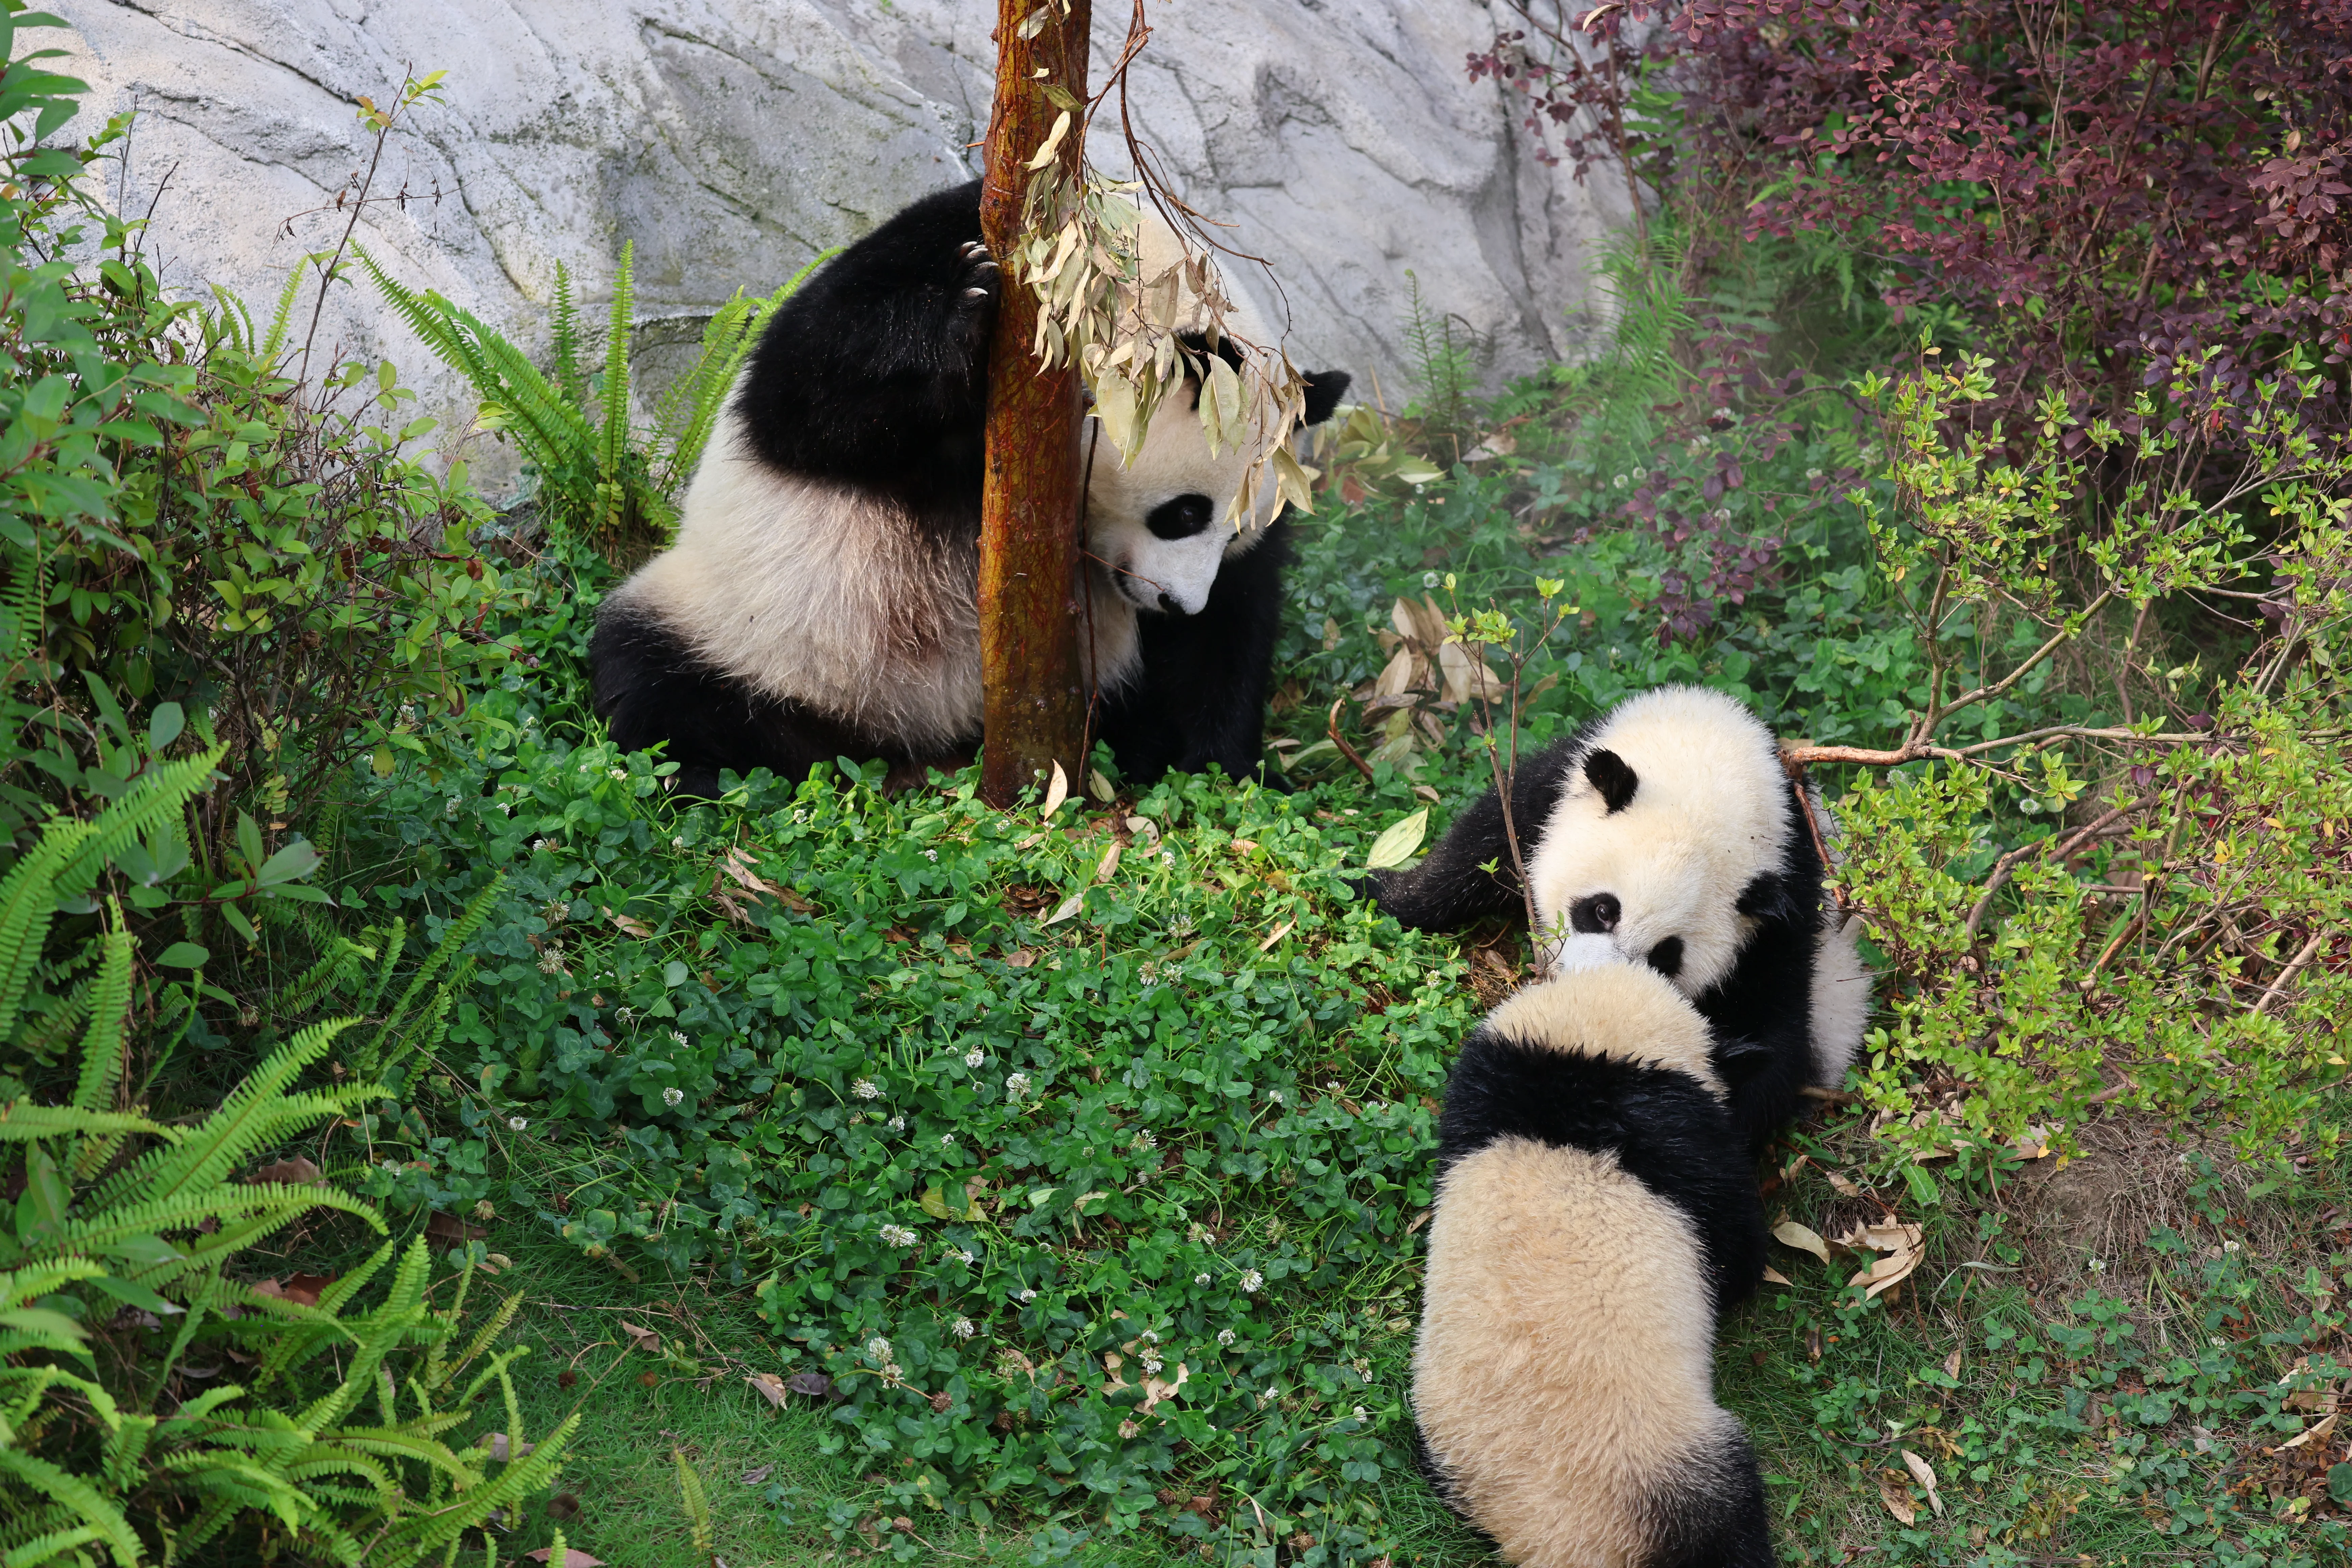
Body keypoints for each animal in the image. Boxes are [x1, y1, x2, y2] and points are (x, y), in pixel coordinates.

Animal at [590, 180, 1350, 798]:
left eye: (1234, 531)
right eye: (1184, 514)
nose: (1177, 602)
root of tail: (912, 742)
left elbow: (1224, 639)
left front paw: (1221, 772)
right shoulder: (948, 242)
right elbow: (812, 396)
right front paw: (963, 317)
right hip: (753, 628)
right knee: (654, 682)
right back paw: (700, 773)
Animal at [1363, 685, 1870, 1155]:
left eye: (1666, 957)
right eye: (1603, 910)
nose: (1596, 992)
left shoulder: (1783, 919)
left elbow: (1774, 1039)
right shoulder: (1555, 784)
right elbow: (1478, 848)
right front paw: (1381, 892)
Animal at [1413, 949, 1776, 1567]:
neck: (1592, 1059)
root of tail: (1546, 1538)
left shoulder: (1491, 1080)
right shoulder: (1684, 1137)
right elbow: (1734, 1248)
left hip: (1446, 1445)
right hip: (1663, 1459)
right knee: (1725, 1522)